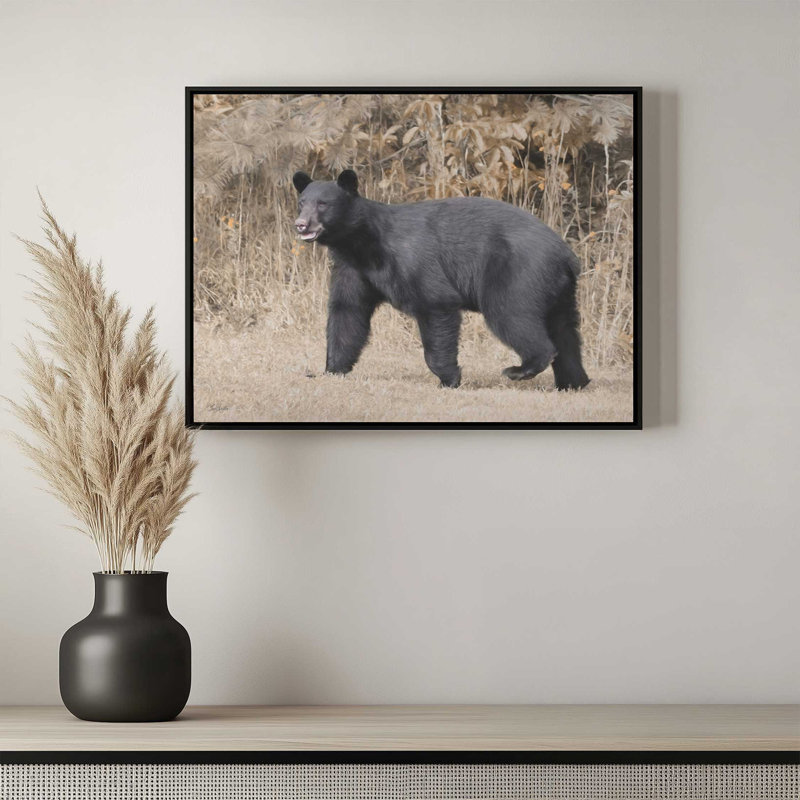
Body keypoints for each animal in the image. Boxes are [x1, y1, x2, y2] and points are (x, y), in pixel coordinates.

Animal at [292, 169, 589, 391]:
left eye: (323, 204)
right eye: (302, 202)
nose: (301, 224)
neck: (361, 243)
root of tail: (567, 255)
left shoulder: (411, 260)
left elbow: (435, 303)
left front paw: (449, 378)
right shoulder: (353, 269)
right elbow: (347, 312)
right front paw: (331, 370)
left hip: (519, 273)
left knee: (511, 315)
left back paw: (520, 369)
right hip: (559, 290)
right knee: (565, 331)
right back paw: (574, 382)